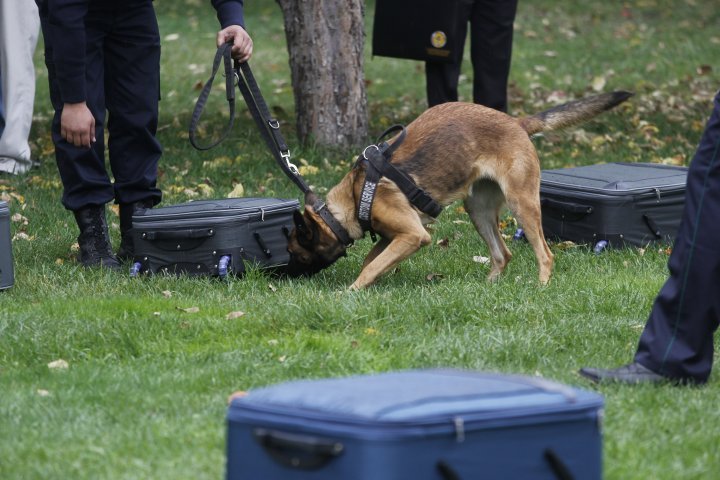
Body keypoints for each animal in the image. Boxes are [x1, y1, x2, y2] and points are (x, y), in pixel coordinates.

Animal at [284, 92, 632, 290]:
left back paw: (541, 289)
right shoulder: (394, 236)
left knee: (545, 254)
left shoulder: (413, 235)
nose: (286, 279)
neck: (355, 196)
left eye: (296, 253)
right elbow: (374, 260)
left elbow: (370, 266)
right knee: (502, 254)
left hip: (522, 204)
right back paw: (488, 289)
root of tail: (517, 123)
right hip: (478, 211)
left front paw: (351, 292)